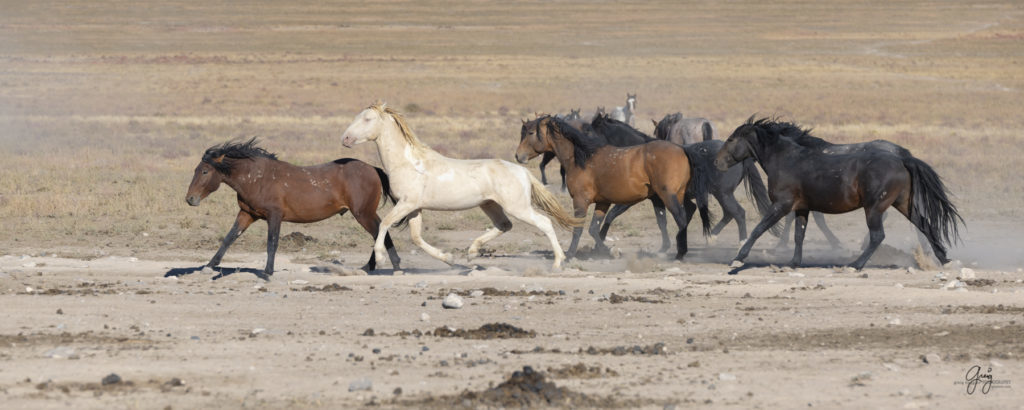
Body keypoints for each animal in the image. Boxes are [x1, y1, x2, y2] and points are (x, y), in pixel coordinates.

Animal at [186, 137, 401, 278]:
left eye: (205, 171)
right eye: (196, 169)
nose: (190, 199)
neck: (258, 178)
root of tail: (373, 169)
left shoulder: (274, 215)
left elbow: (272, 242)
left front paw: (267, 272)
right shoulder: (247, 214)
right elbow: (229, 238)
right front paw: (209, 266)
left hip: (364, 213)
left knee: (381, 233)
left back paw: (392, 267)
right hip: (366, 214)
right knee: (380, 233)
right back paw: (369, 267)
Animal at [339, 102, 581, 268]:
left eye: (367, 119)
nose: (345, 139)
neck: (408, 163)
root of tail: (522, 171)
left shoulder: (406, 204)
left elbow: (384, 223)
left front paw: (379, 258)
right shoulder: (415, 208)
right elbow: (416, 238)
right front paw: (448, 258)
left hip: (518, 207)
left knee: (544, 222)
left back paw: (558, 262)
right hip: (490, 205)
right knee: (504, 225)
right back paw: (471, 252)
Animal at [524, 115, 708, 261]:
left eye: (531, 133)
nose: (519, 155)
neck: (581, 160)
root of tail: (683, 150)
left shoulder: (611, 200)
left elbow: (591, 224)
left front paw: (572, 254)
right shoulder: (620, 200)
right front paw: (602, 249)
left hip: (670, 196)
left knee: (682, 216)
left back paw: (681, 252)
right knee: (688, 211)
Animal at [712, 117, 958, 272]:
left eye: (731, 139)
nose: (717, 163)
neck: (786, 159)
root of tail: (902, 158)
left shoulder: (782, 205)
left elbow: (759, 229)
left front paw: (737, 259)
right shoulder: (802, 208)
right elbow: (799, 234)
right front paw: (794, 262)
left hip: (874, 208)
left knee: (878, 236)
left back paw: (855, 265)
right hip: (903, 203)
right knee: (924, 225)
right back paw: (945, 260)